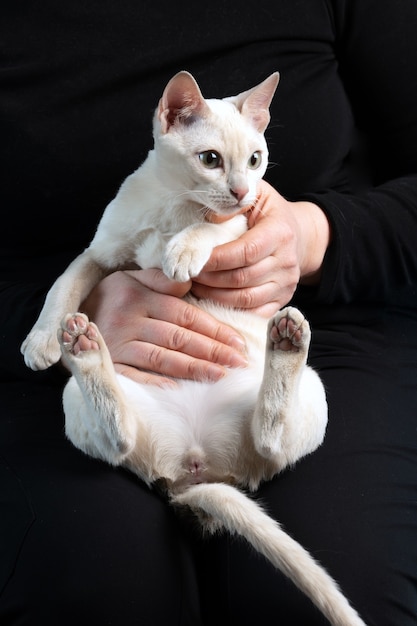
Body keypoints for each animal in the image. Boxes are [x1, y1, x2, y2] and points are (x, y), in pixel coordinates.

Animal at [21, 70, 364, 620]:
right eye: (210, 159)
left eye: (255, 159)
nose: (244, 191)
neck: (171, 206)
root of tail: (195, 468)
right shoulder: (100, 254)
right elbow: (63, 285)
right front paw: (40, 340)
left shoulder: (241, 227)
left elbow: (210, 228)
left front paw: (181, 250)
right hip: (78, 398)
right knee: (118, 437)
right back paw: (80, 346)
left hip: (310, 391)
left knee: (270, 439)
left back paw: (287, 340)